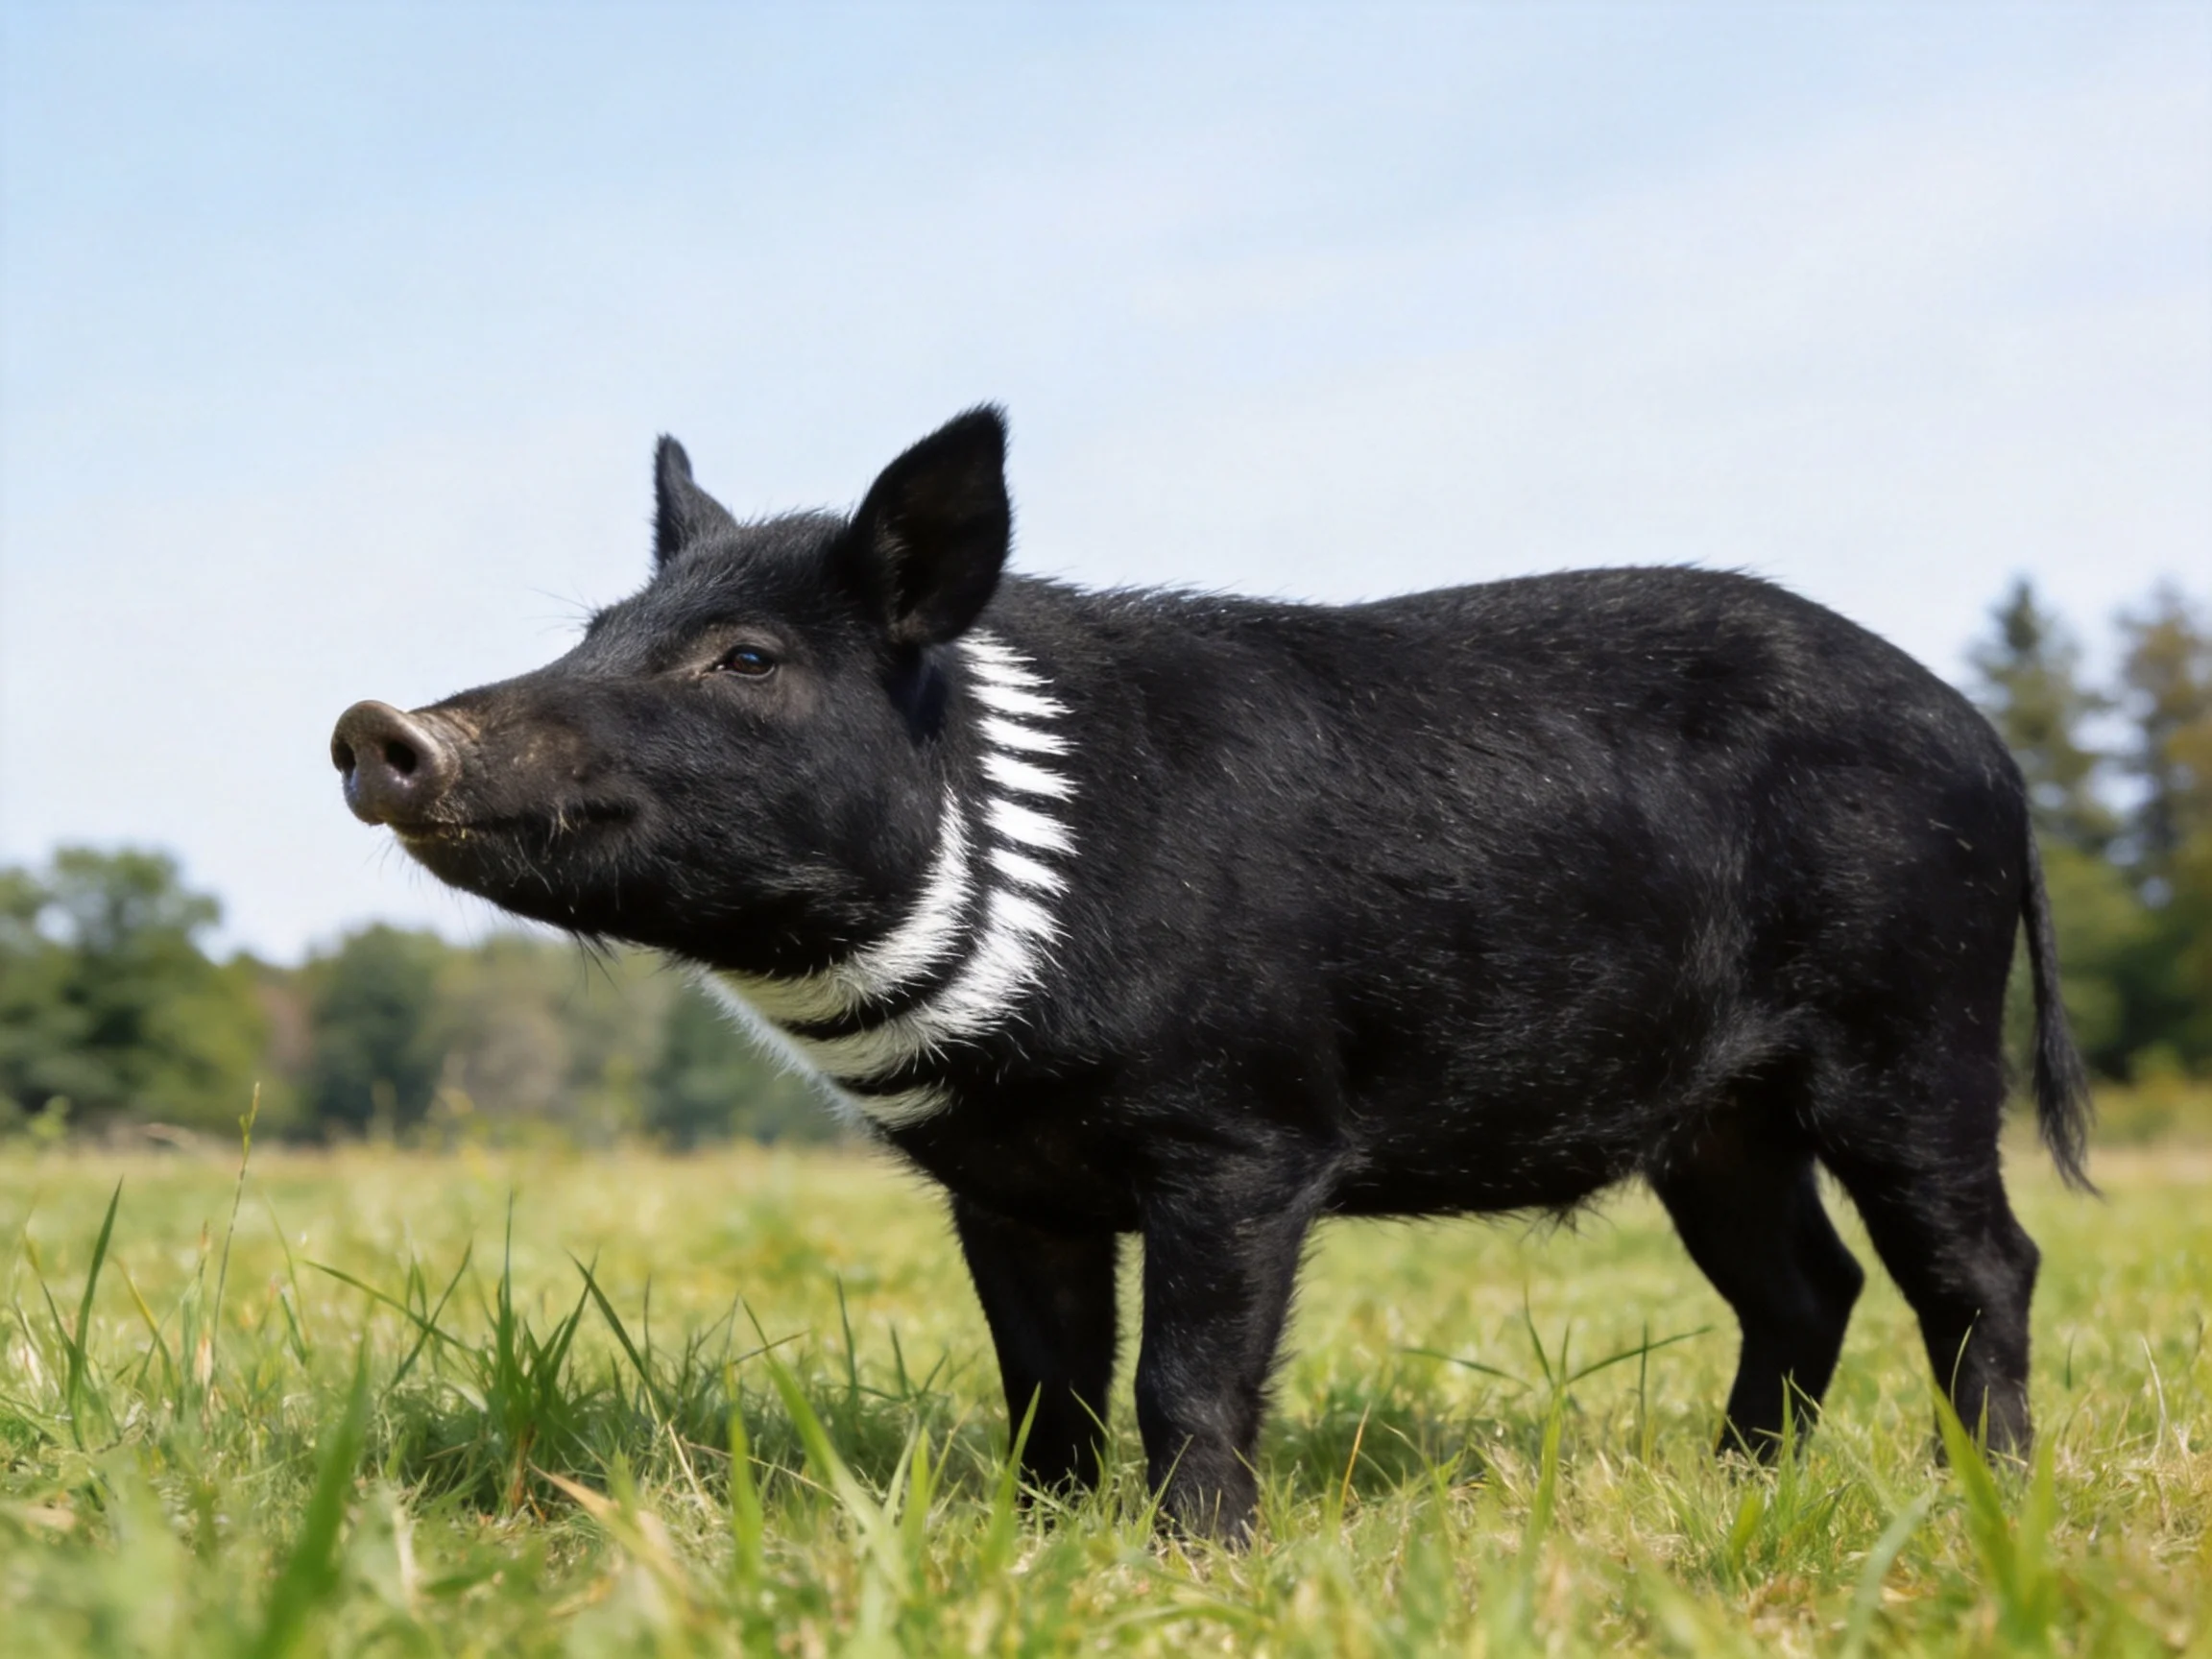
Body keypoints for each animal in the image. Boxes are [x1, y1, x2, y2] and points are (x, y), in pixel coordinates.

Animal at [332, 407, 2090, 1539]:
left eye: (747, 659)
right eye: (599, 628)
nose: (379, 726)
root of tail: (1987, 748)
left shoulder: (1243, 1133)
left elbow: (1187, 1374)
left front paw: (1196, 1563)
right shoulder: (1008, 1181)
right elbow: (1045, 1382)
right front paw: (1036, 1550)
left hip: (1913, 1025)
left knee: (1979, 1262)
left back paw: (1987, 1505)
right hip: (1717, 1117)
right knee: (1804, 1282)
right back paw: (1735, 1492)